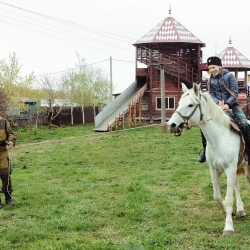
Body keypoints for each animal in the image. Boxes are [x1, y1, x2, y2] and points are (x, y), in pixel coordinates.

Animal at [167, 82, 249, 236]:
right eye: (179, 103)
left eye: (190, 105)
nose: (171, 125)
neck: (220, 138)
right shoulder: (215, 170)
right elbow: (217, 196)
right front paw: (231, 212)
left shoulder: (230, 169)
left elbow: (228, 199)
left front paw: (228, 227)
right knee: (236, 184)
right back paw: (241, 210)